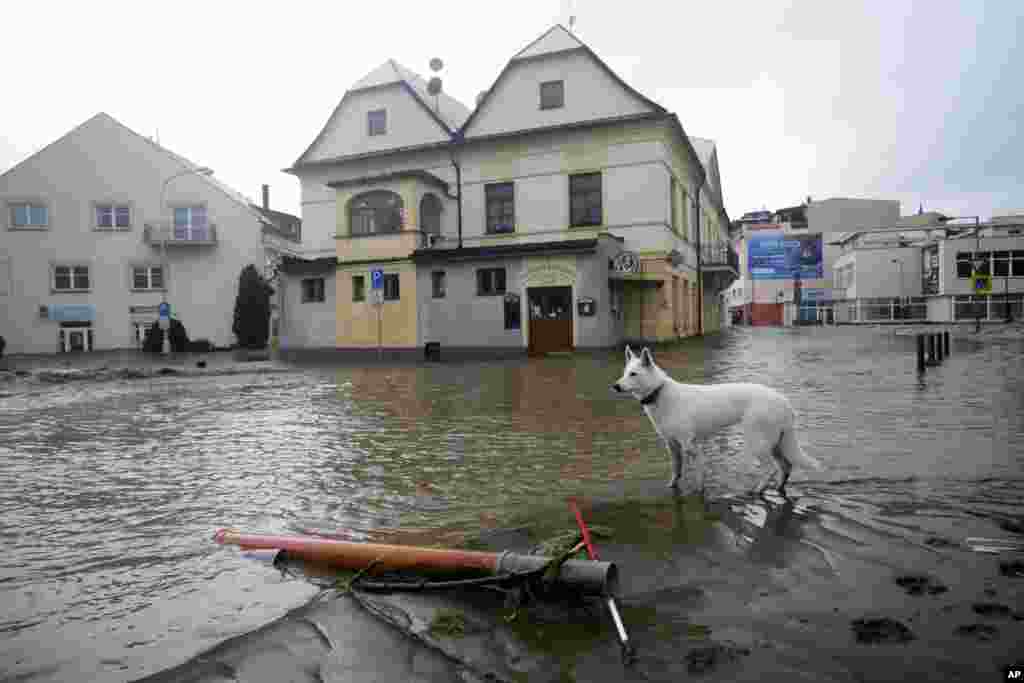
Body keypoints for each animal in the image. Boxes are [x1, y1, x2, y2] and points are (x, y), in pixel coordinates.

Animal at [610, 344, 819, 493]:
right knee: (786, 466)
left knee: (771, 469)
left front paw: (700, 491)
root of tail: (784, 401)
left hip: (758, 443)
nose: (615, 386)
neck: (659, 392)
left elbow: (699, 473)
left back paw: (758, 490)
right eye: (624, 373)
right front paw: (672, 486)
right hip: (775, 443)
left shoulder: (690, 446)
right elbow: (677, 470)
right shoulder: (673, 446)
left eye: (633, 374)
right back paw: (779, 487)